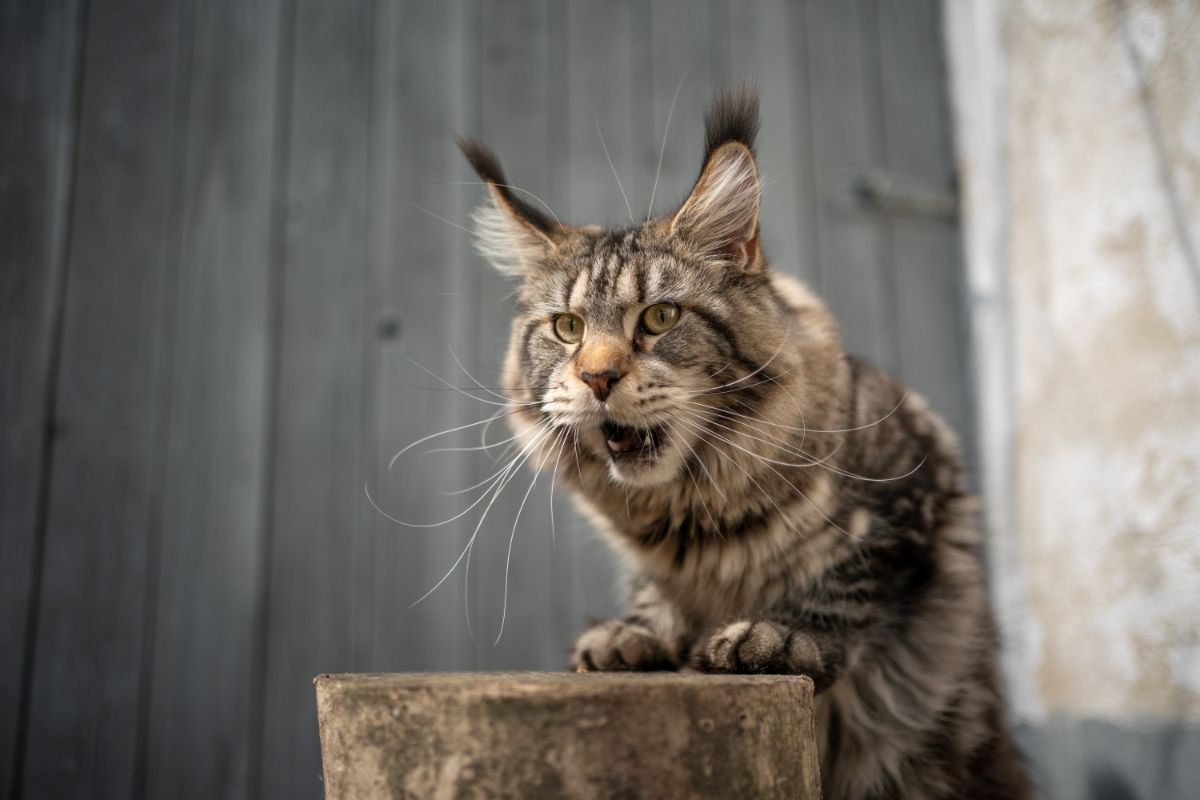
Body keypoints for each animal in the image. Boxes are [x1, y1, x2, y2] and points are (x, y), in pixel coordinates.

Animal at [453, 87, 1027, 800]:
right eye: (567, 328)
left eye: (660, 318)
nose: (597, 377)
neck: (696, 515)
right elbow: (652, 590)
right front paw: (637, 635)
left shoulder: (911, 482)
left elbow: (846, 579)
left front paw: (779, 636)